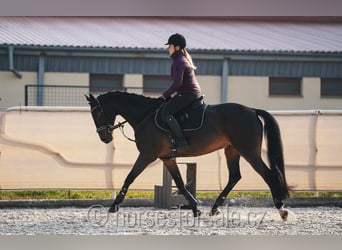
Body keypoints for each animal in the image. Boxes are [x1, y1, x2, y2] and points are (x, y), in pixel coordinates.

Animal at [85, 91, 288, 220]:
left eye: (98, 113)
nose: (104, 137)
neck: (145, 115)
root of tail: (252, 111)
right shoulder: (168, 158)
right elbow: (181, 184)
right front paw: (195, 208)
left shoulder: (147, 155)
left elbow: (130, 177)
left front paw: (114, 206)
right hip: (232, 150)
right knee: (234, 176)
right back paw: (214, 208)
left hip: (249, 151)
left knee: (268, 175)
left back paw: (281, 209)